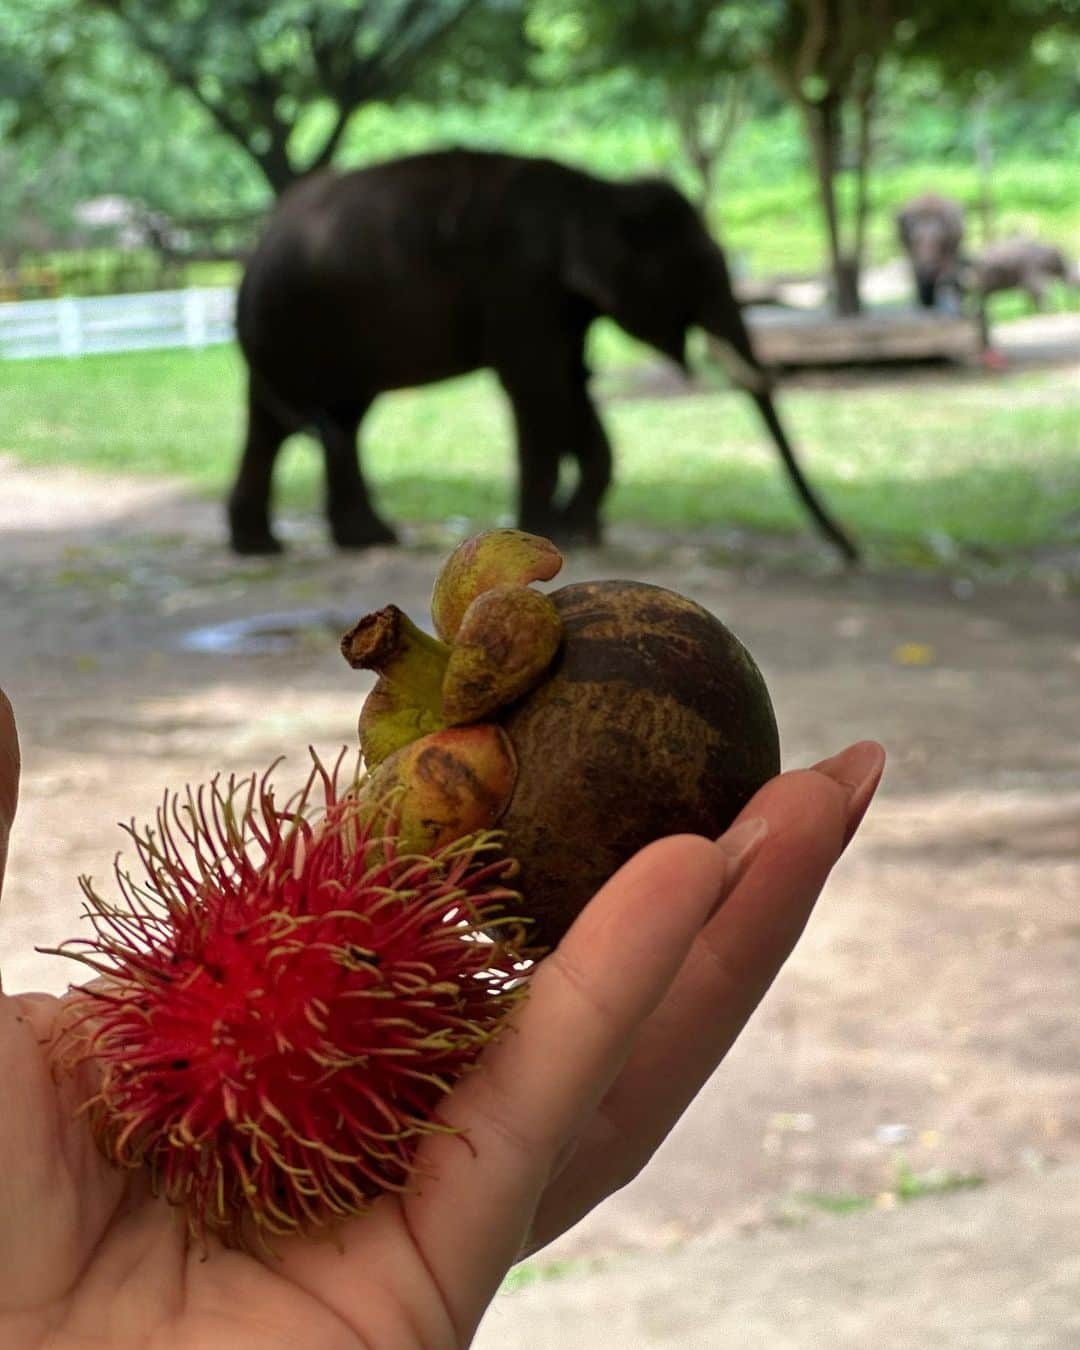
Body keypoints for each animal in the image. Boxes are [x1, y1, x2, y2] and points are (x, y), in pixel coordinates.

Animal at [229, 149, 858, 564]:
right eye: (698, 269)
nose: (851, 553)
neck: (595, 189)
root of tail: (259, 242)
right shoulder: (522, 281)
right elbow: (538, 386)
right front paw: (545, 536)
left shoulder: (562, 302)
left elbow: (574, 383)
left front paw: (580, 534)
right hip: (294, 325)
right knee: (312, 419)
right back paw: (304, 545)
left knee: (321, 420)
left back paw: (330, 543)